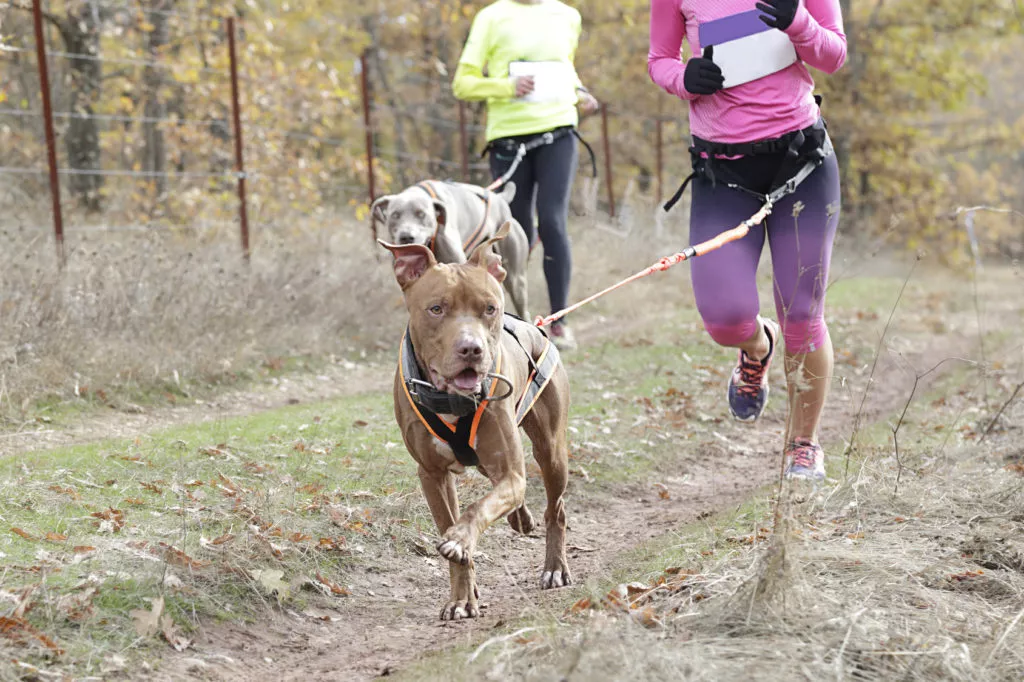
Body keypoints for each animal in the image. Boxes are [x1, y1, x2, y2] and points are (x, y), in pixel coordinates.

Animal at [380, 222, 573, 614]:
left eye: (489, 308)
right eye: (436, 308)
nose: (471, 349)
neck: (450, 399)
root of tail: (535, 326)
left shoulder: (511, 472)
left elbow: (478, 508)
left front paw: (460, 541)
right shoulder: (432, 475)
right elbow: (452, 526)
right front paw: (461, 596)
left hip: (551, 450)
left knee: (555, 508)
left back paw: (554, 568)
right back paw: (519, 517)